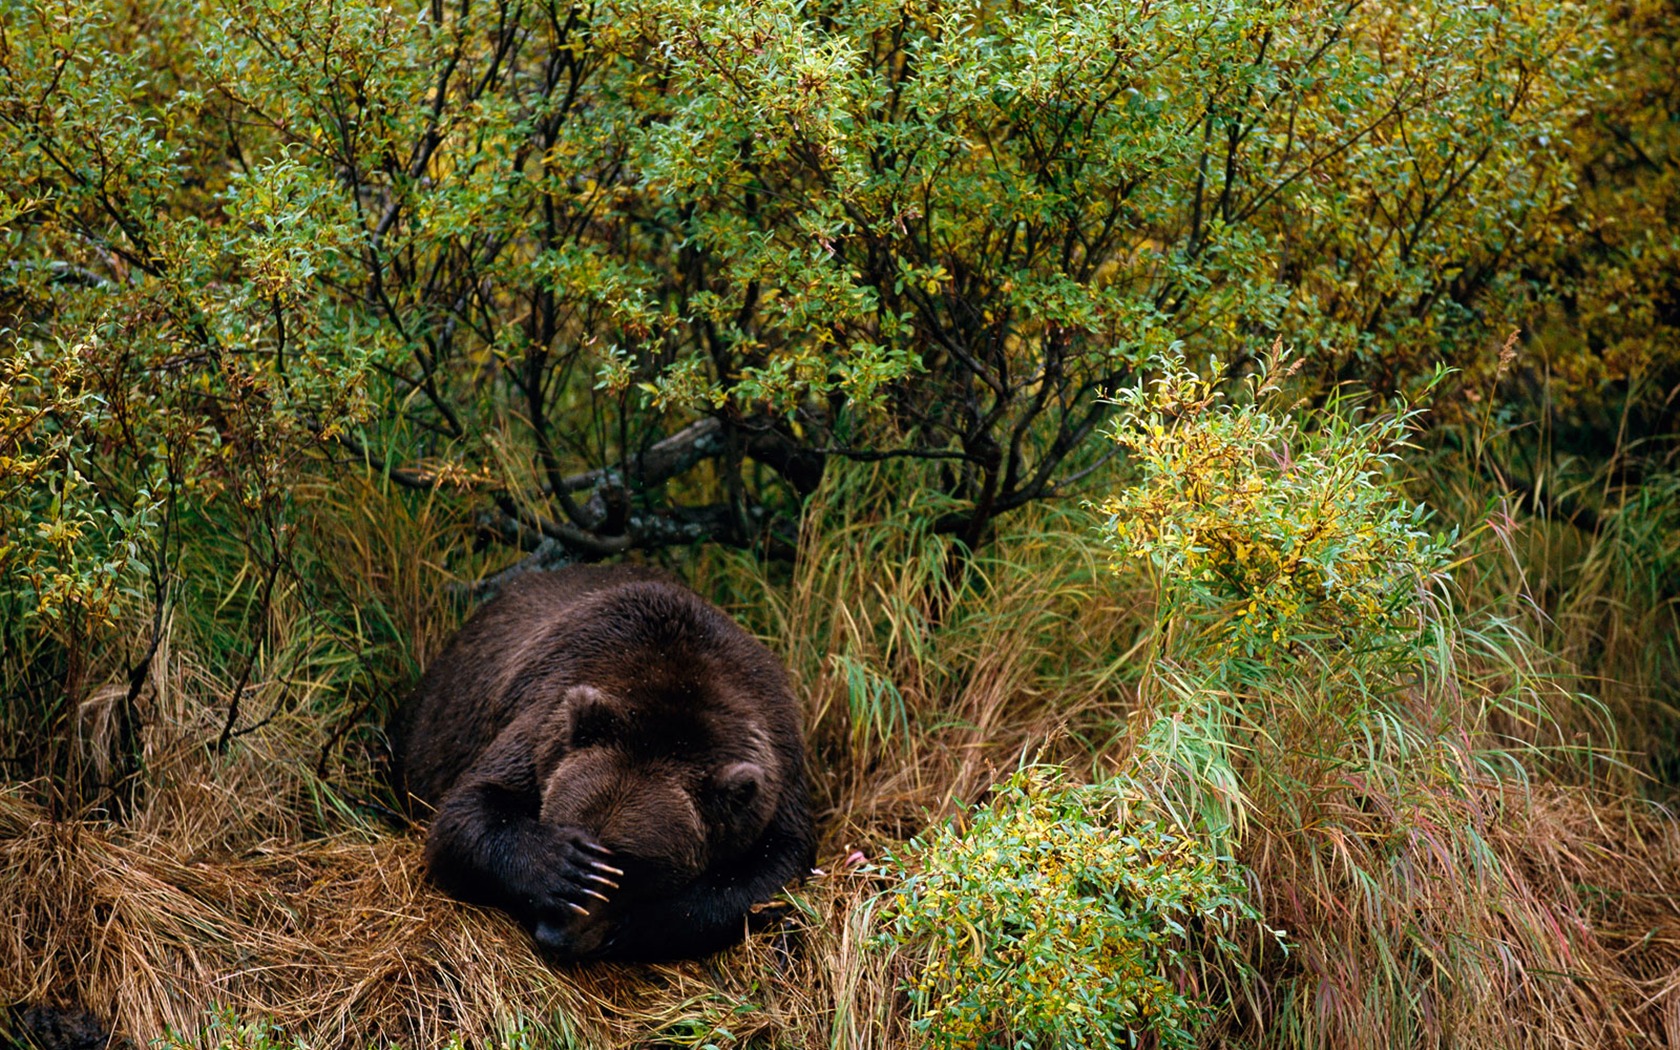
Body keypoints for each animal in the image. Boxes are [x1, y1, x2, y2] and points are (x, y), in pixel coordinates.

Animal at [393, 564, 813, 960]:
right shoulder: (547, 721)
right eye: (565, 827)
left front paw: (640, 924)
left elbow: (776, 866)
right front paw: (560, 867)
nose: (556, 935)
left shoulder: (774, 769)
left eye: (631, 864)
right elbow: (467, 810)